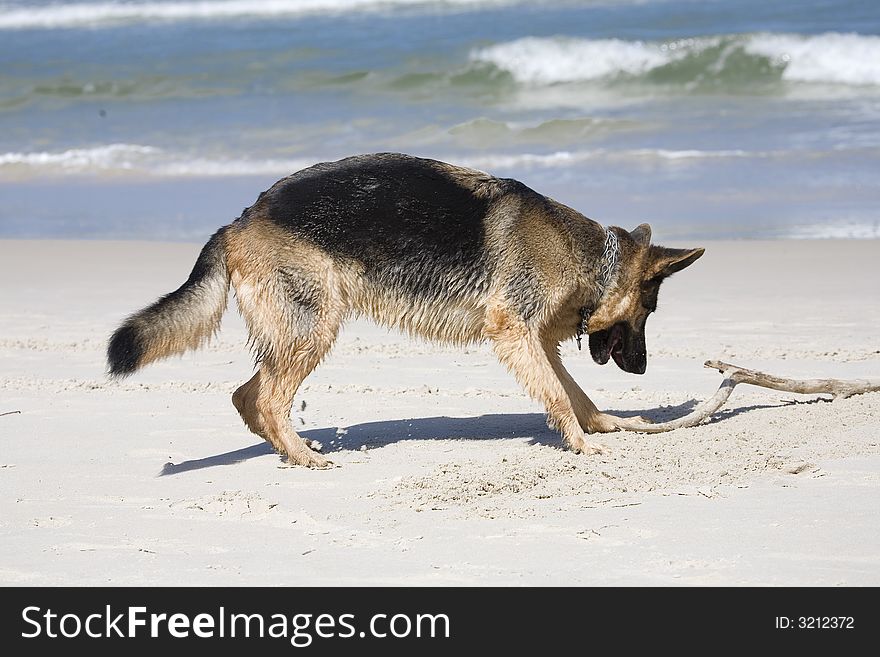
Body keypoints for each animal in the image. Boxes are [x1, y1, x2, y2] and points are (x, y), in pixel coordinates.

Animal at [108, 152, 700, 466]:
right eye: (649, 309)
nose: (643, 368)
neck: (588, 256)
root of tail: (241, 220)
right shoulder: (516, 335)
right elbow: (559, 396)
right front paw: (581, 445)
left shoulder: (536, 345)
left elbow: (578, 397)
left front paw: (609, 426)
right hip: (314, 328)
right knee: (269, 397)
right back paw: (303, 455)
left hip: (298, 333)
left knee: (246, 395)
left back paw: (287, 448)